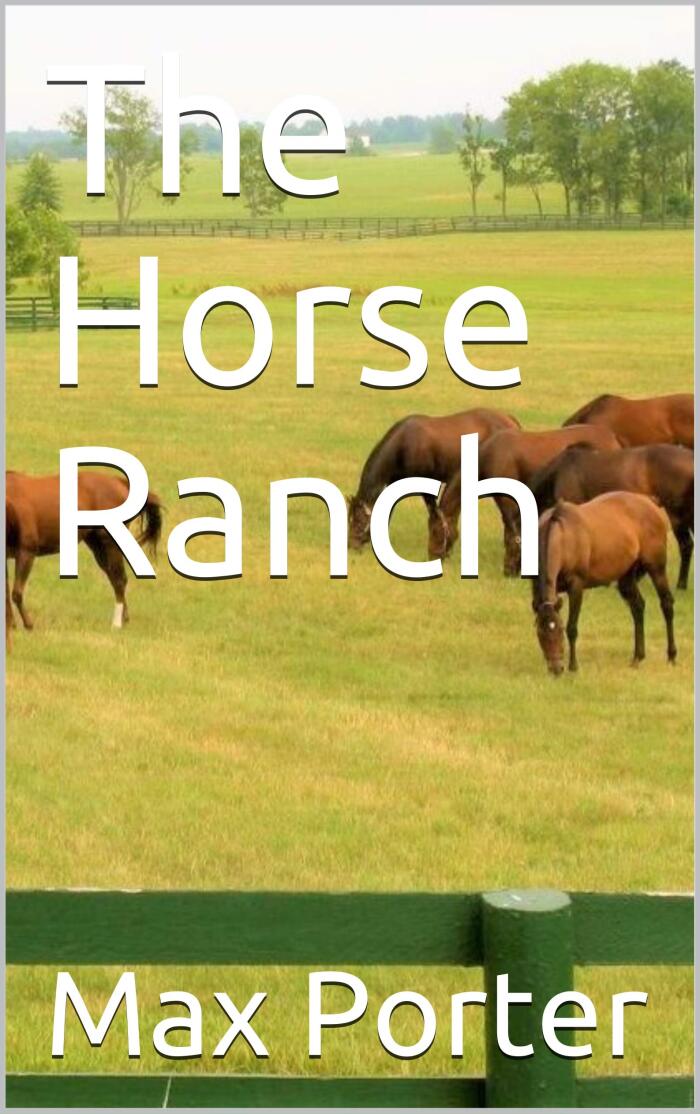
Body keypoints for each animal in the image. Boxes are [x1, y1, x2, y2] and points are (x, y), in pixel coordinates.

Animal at [6, 470, 162, 631]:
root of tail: (120, 482)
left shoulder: (26, 553)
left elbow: (16, 593)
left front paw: (28, 625)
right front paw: (11, 625)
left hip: (110, 544)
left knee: (119, 580)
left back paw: (117, 623)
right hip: (98, 547)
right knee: (115, 579)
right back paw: (124, 619)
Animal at [428, 424, 621, 574]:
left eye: (435, 531)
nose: (432, 556)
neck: (491, 455)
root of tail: (614, 440)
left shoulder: (507, 500)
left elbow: (511, 531)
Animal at [532, 492, 676, 676]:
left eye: (560, 629)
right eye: (540, 633)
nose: (557, 668)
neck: (561, 534)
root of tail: (651, 504)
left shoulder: (576, 586)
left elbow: (573, 627)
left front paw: (573, 666)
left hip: (656, 568)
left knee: (666, 604)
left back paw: (671, 656)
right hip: (627, 577)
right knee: (637, 607)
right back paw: (637, 657)